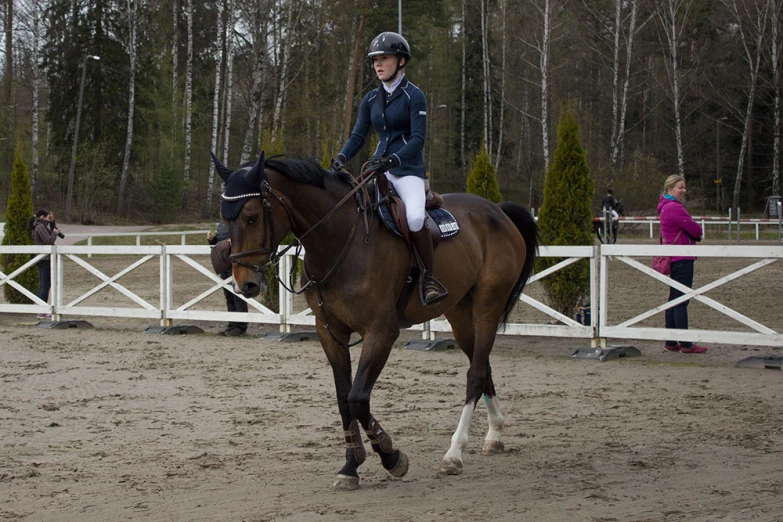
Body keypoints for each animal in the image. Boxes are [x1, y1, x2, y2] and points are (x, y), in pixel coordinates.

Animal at [213, 150, 540, 488]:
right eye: (226, 218)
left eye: (252, 216)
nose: (245, 284)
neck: (340, 239)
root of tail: (497, 211)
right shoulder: (329, 331)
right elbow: (344, 398)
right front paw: (351, 466)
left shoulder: (381, 331)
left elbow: (358, 398)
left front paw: (391, 456)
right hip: (460, 313)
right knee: (483, 365)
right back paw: (494, 435)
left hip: (488, 304)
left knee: (475, 374)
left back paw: (454, 454)